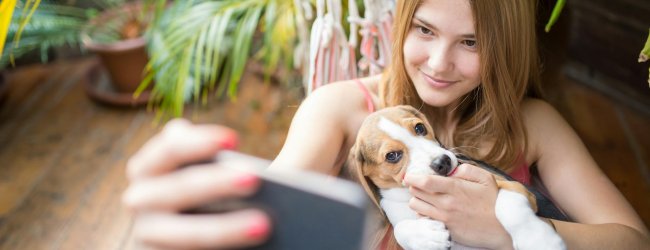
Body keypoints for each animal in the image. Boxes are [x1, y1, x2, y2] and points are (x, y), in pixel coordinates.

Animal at [346, 105, 564, 250]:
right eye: (392, 156)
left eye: (420, 128)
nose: (442, 162)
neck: (408, 194)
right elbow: (400, 227)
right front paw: (425, 236)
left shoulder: (513, 186)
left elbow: (509, 206)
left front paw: (539, 240)